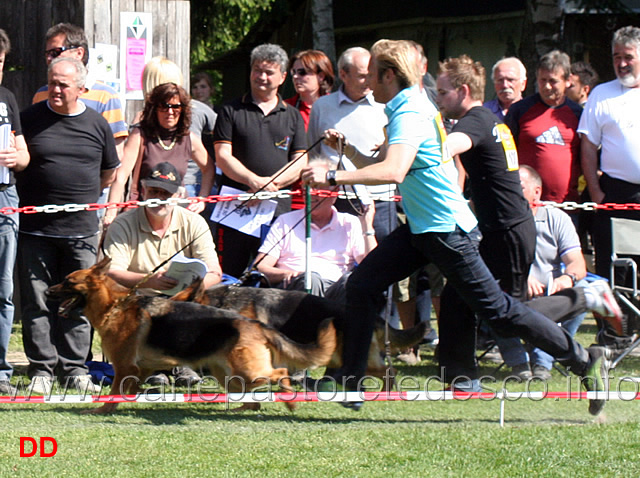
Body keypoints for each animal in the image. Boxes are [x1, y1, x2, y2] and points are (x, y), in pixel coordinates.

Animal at [47, 258, 338, 414]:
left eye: (68, 282)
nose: (47, 292)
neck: (113, 306)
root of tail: (255, 324)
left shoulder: (123, 367)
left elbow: (115, 393)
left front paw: (101, 410)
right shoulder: (139, 369)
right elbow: (132, 388)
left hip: (245, 371)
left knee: (280, 374)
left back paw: (288, 398)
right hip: (229, 376)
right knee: (252, 398)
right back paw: (243, 408)